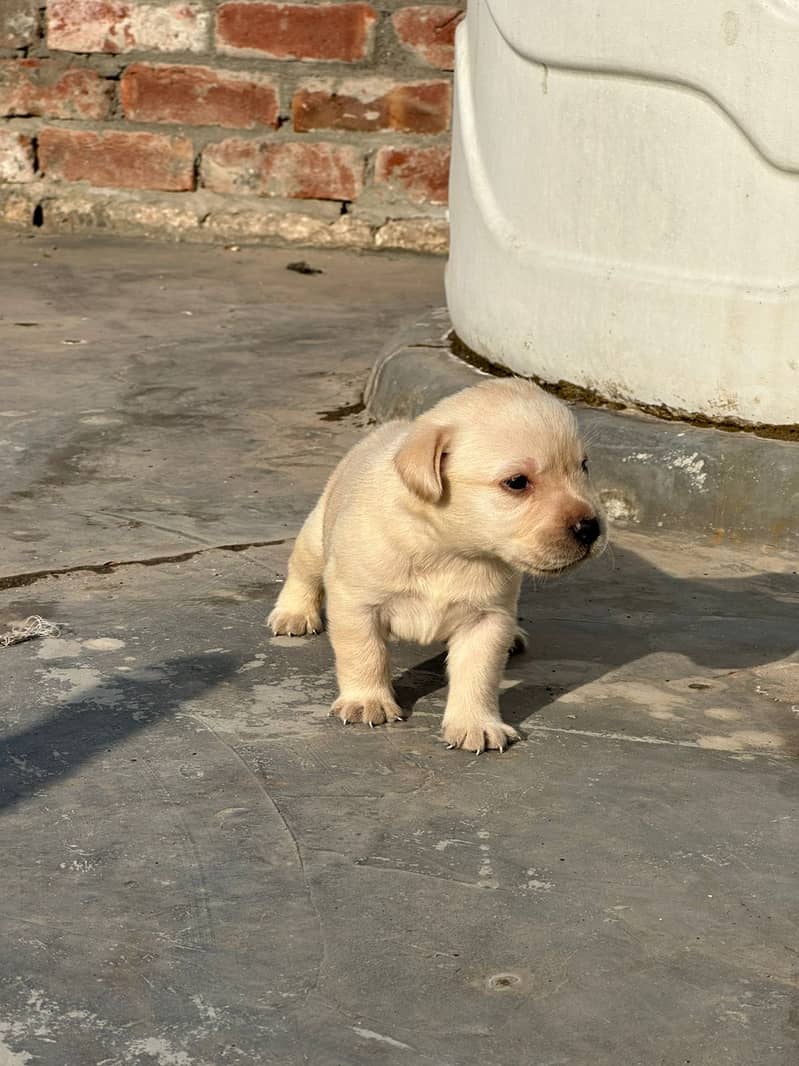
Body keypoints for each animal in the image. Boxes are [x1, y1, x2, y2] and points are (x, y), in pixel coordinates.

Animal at [269, 379, 605, 754]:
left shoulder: (487, 619)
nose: (591, 528)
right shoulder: (356, 603)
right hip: (316, 536)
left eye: (584, 466)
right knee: (302, 571)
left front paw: (476, 723)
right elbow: (365, 654)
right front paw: (367, 701)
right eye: (517, 482)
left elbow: (478, 674)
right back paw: (294, 614)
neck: (450, 551)